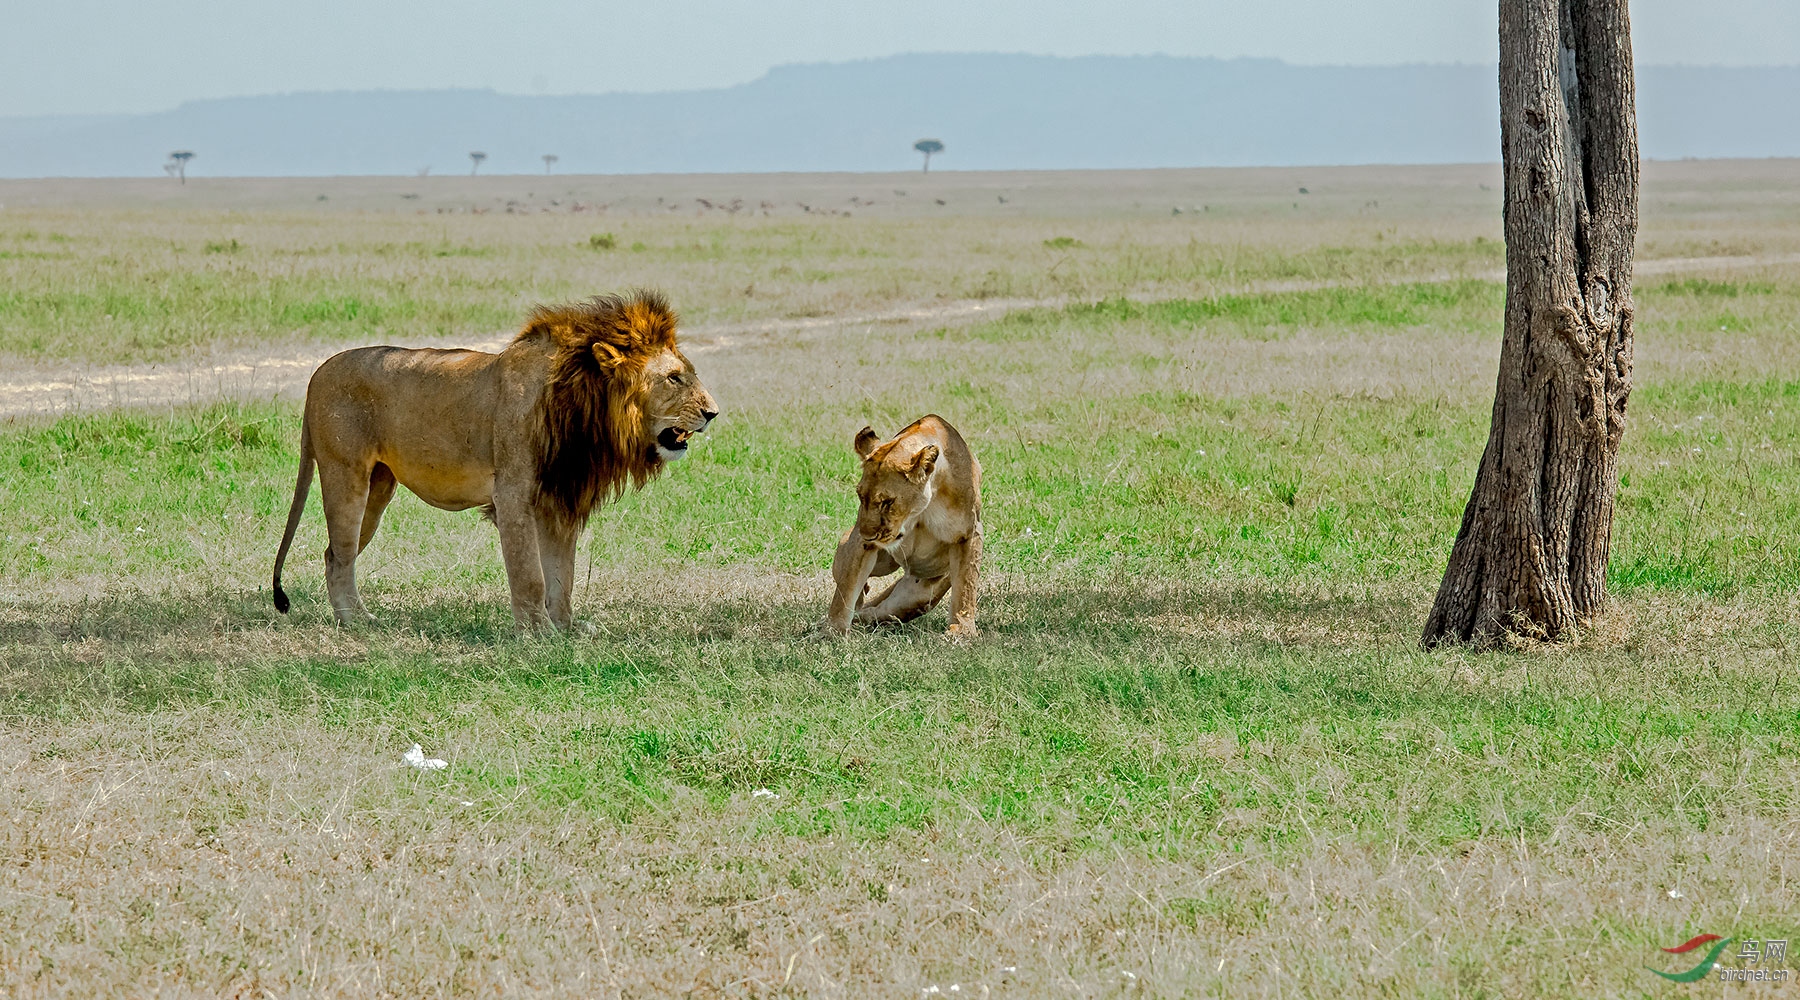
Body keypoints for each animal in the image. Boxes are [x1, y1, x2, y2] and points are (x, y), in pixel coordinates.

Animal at [268, 293, 716, 629]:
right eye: (674, 377)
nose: (713, 413)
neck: (586, 408)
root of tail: (317, 374)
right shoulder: (514, 495)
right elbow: (530, 574)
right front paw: (537, 633)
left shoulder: (559, 500)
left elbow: (563, 576)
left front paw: (565, 628)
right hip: (346, 475)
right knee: (341, 554)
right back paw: (357, 621)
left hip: (378, 489)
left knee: (332, 554)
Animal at [824, 415, 979, 636]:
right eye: (861, 496)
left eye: (887, 502)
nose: (868, 535)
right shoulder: (860, 543)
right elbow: (847, 586)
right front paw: (833, 630)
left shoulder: (967, 534)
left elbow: (966, 586)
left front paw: (962, 631)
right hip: (877, 560)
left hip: (920, 593)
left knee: (881, 612)